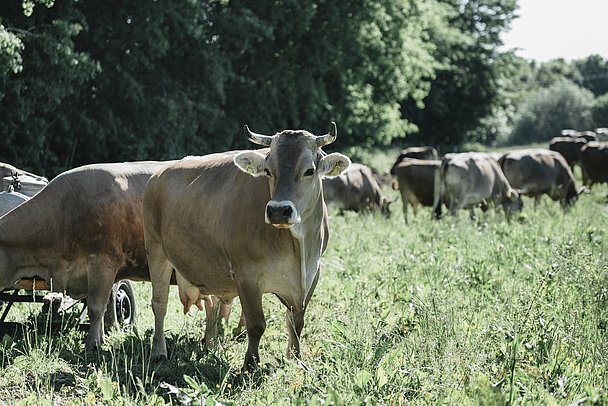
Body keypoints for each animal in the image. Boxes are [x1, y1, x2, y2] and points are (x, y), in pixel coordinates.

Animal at [144, 122, 352, 370]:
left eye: (309, 171)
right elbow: (256, 324)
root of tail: (159, 173)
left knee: (213, 306)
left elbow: (296, 321)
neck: (297, 248)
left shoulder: (313, 273)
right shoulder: (247, 276)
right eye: (268, 170)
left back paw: (211, 345)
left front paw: (295, 358)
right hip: (156, 252)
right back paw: (158, 351)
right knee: (160, 304)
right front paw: (250, 365)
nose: (278, 210)